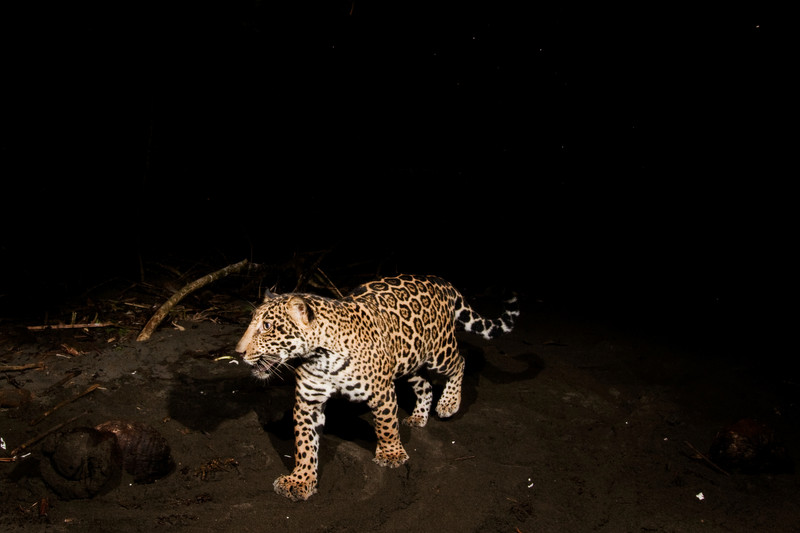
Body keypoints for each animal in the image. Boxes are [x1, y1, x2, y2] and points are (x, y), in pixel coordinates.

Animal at [235, 274, 519, 501]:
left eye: (267, 327)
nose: (238, 352)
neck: (321, 356)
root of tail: (440, 280)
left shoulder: (381, 393)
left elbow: (386, 425)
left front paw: (391, 455)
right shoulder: (308, 402)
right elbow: (304, 444)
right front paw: (301, 480)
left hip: (439, 351)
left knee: (459, 362)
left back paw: (449, 403)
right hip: (408, 361)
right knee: (425, 385)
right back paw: (418, 416)